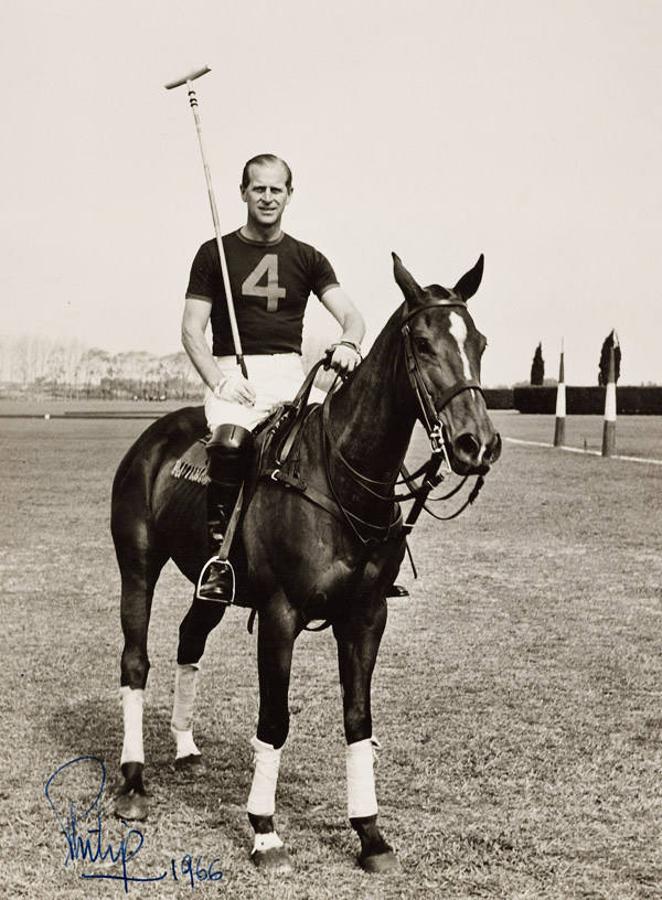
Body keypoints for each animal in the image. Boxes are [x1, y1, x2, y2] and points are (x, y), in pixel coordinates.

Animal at [111, 253, 500, 872]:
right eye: (421, 342)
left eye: (480, 341)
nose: (477, 444)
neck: (346, 479)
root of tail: (152, 435)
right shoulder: (280, 614)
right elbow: (274, 720)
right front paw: (265, 832)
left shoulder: (366, 617)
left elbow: (359, 719)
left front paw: (370, 834)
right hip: (138, 564)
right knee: (135, 660)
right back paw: (132, 783)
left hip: (211, 584)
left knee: (189, 639)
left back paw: (187, 749)